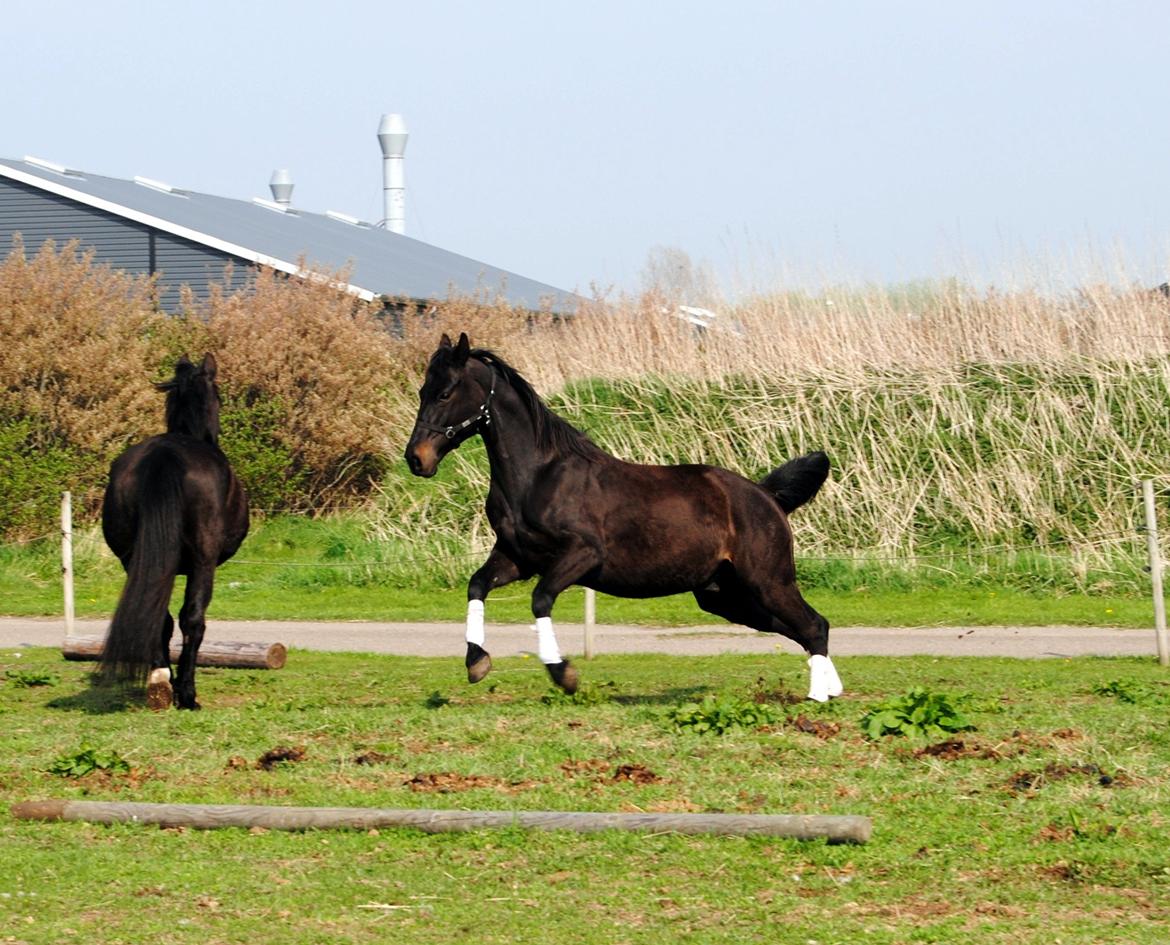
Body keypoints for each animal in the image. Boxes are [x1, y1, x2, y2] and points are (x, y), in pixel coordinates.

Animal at [101, 355, 249, 711]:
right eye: (219, 395)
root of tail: (164, 455)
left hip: (133, 559)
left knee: (160, 617)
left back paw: (160, 684)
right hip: (202, 562)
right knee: (192, 619)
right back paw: (187, 694)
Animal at [404, 332, 842, 701]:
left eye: (445, 393)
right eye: (423, 391)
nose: (416, 459)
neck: (539, 476)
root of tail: (766, 496)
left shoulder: (581, 555)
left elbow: (540, 599)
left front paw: (564, 674)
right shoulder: (518, 558)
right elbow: (476, 586)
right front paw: (476, 663)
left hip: (767, 581)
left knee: (814, 625)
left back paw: (818, 697)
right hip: (727, 596)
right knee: (805, 628)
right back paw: (831, 689)